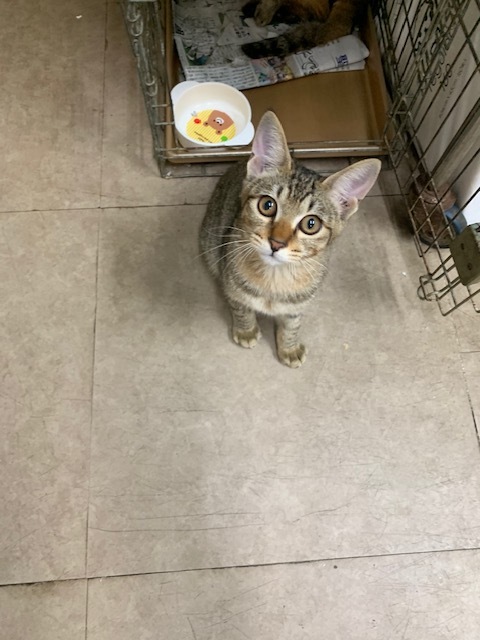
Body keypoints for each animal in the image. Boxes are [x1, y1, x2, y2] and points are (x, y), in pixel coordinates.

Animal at [199, 111, 380, 367]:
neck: (275, 279)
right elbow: (240, 306)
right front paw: (246, 330)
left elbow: (293, 324)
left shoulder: (298, 305)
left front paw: (289, 347)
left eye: (310, 224)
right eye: (267, 205)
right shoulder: (230, 280)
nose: (277, 243)